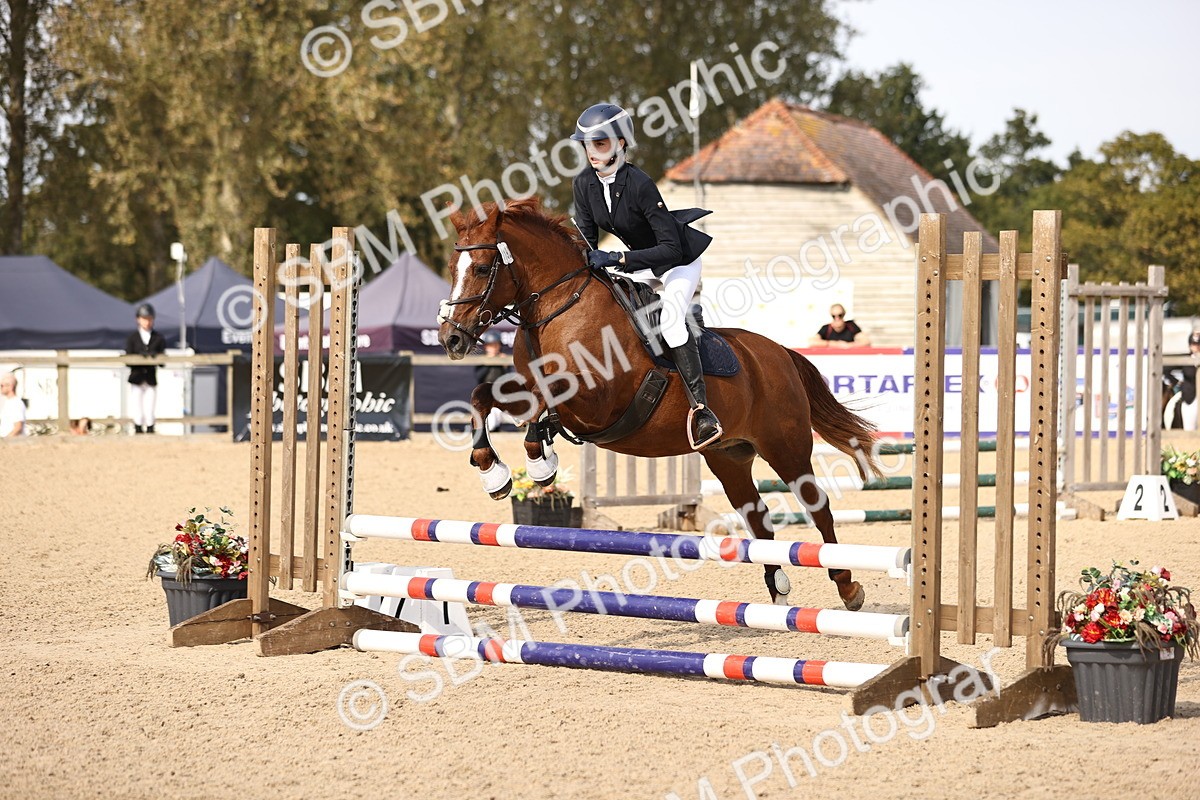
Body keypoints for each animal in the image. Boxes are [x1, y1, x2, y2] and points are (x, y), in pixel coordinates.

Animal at [437, 197, 882, 609]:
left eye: (482, 268)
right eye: (452, 268)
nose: (451, 339)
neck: (558, 308)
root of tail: (780, 353)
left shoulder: (597, 400)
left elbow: (544, 401)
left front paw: (539, 465)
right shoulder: (529, 388)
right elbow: (484, 397)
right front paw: (494, 473)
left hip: (785, 446)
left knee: (818, 506)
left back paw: (848, 587)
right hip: (729, 456)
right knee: (757, 517)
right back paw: (778, 589)